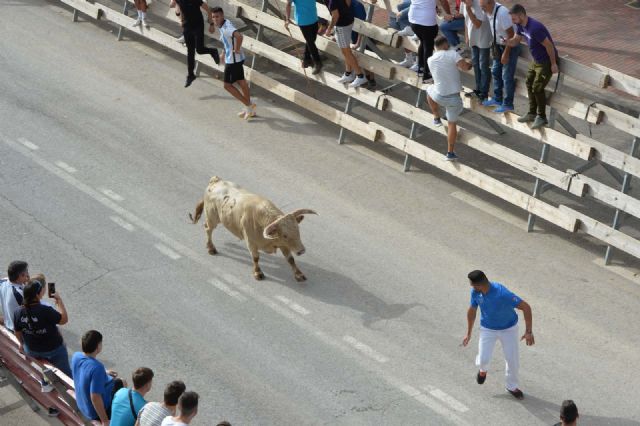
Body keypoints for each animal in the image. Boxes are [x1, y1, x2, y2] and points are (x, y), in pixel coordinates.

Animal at [188, 177, 318, 282]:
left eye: (298, 230)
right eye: (285, 235)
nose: (301, 251)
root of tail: (215, 181)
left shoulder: (283, 244)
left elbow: (290, 259)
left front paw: (299, 274)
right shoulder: (251, 242)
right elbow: (256, 258)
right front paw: (258, 273)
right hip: (212, 218)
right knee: (208, 229)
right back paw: (211, 248)